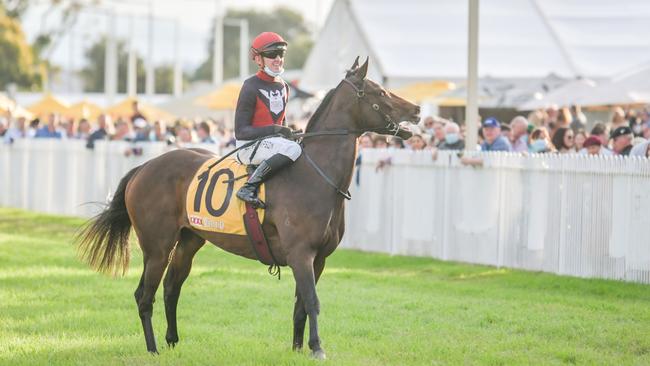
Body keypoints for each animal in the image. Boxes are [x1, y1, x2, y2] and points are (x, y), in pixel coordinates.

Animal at [77, 58, 420, 358]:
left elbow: (300, 305)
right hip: (157, 246)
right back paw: (152, 349)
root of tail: (144, 167)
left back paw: (172, 341)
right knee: (144, 295)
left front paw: (298, 349)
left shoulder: (318, 258)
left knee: (172, 287)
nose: (417, 109)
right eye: (380, 91)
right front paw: (317, 348)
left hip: (189, 240)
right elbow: (312, 300)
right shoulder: (301, 253)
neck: (314, 176)